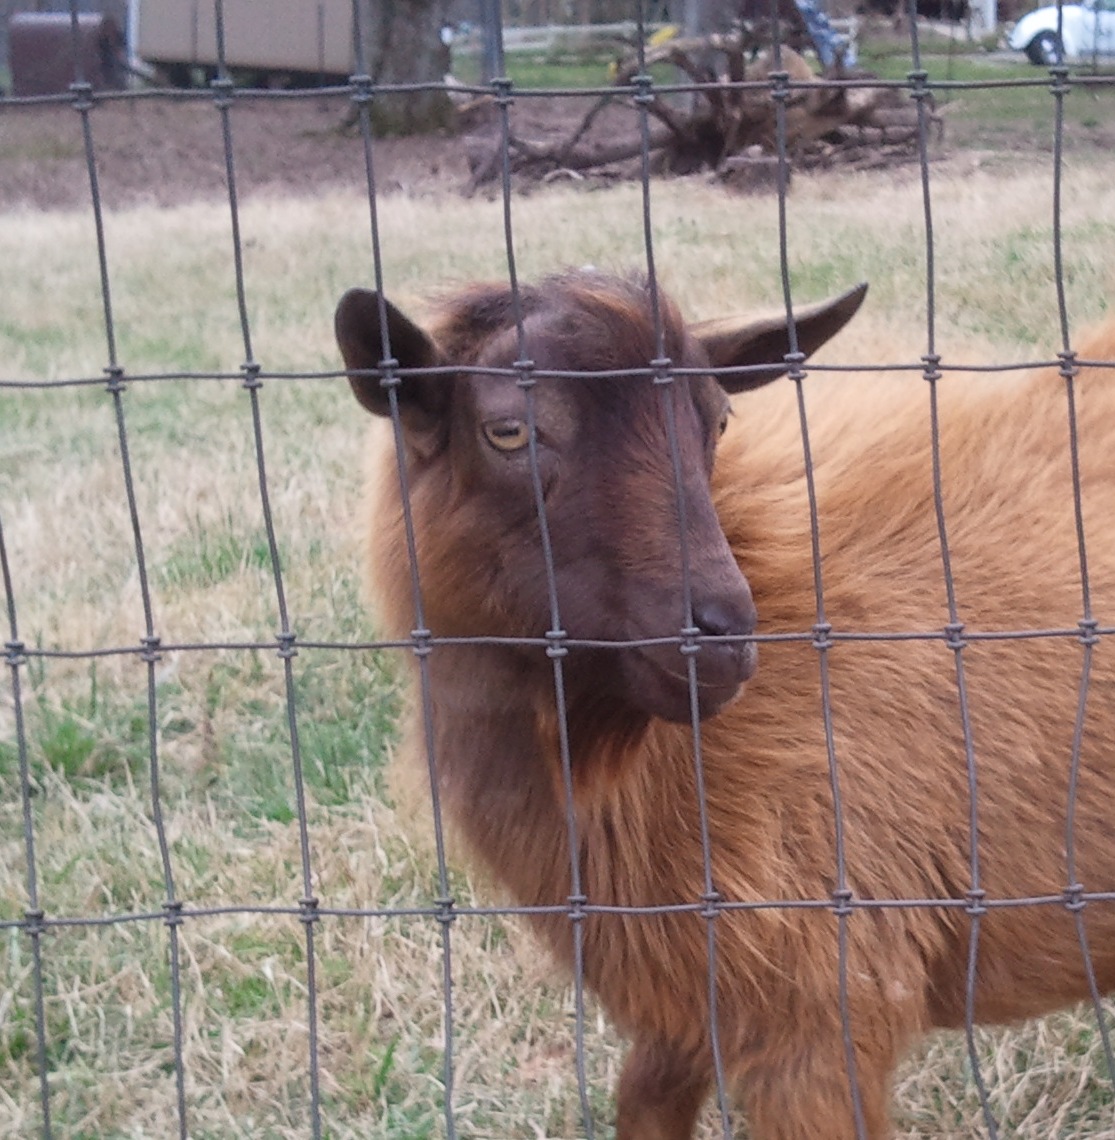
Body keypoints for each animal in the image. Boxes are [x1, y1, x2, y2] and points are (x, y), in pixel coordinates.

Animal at [335, 270, 1115, 1140]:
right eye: (506, 431)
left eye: (717, 420)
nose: (719, 636)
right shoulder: (690, 1003)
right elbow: (641, 1107)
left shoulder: (821, 1005)